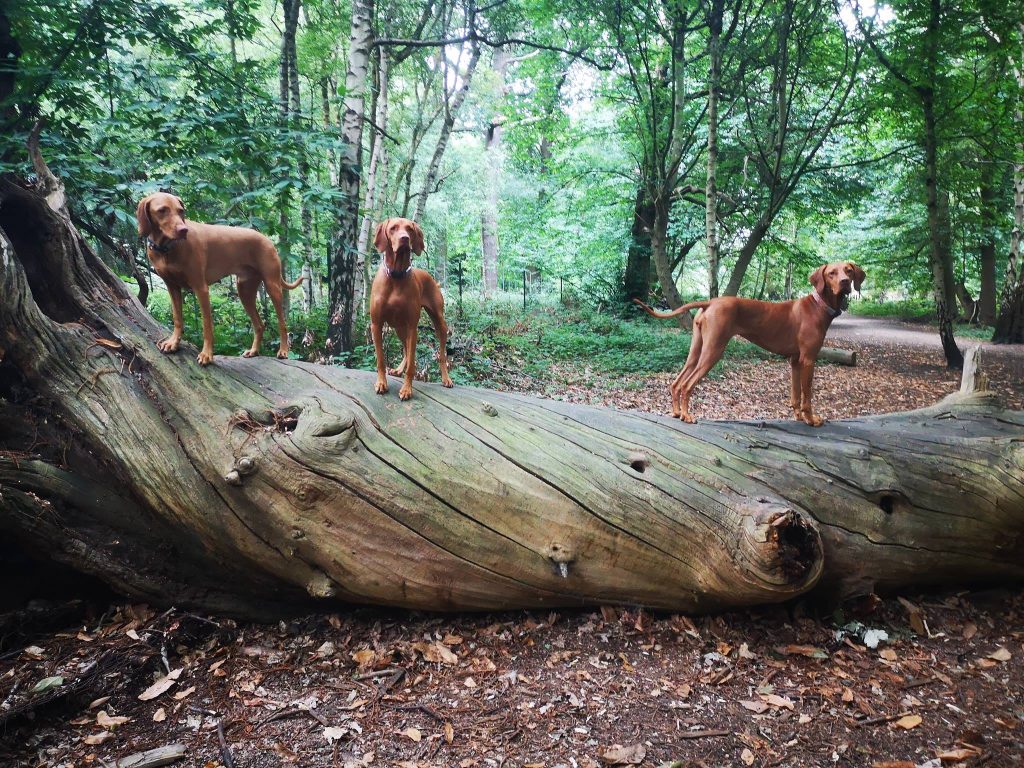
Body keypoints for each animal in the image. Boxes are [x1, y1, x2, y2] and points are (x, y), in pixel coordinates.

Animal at [138, 192, 301, 366]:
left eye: (181, 211)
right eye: (162, 210)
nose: (183, 230)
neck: (167, 249)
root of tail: (266, 238)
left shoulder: (201, 288)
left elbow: (207, 325)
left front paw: (207, 354)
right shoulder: (172, 287)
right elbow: (177, 318)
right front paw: (173, 343)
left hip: (272, 286)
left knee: (282, 324)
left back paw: (283, 351)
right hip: (245, 291)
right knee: (259, 325)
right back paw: (254, 351)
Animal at [366, 215, 450, 399]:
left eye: (410, 229)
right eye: (393, 228)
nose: (404, 239)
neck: (396, 276)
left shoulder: (413, 326)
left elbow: (412, 362)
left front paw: (406, 389)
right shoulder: (376, 324)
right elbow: (381, 359)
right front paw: (381, 383)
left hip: (439, 322)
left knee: (441, 354)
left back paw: (446, 378)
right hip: (398, 328)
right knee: (405, 348)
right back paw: (398, 370)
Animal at [638, 264, 864, 428]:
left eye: (849, 271)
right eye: (831, 273)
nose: (845, 282)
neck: (818, 305)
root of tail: (710, 302)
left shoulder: (795, 361)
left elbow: (795, 395)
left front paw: (798, 417)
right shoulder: (808, 359)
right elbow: (807, 395)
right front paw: (810, 419)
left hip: (696, 350)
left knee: (677, 382)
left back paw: (677, 412)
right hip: (714, 350)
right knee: (687, 384)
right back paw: (687, 415)